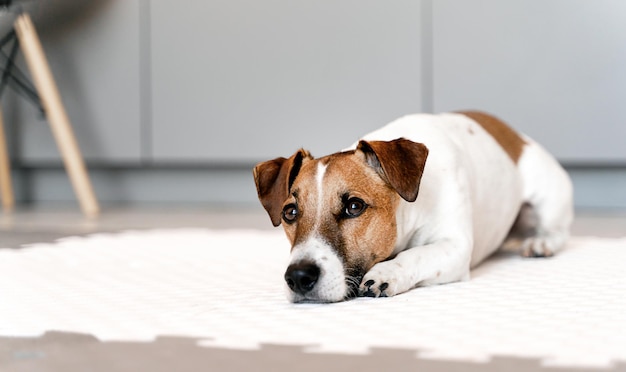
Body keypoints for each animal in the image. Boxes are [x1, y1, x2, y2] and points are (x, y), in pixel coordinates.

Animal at [252, 112, 572, 304]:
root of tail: (514, 134)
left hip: (547, 200)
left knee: (558, 232)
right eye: (290, 213)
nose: (298, 277)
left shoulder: (455, 247)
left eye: (354, 206)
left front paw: (386, 273)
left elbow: (416, 254)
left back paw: (541, 242)